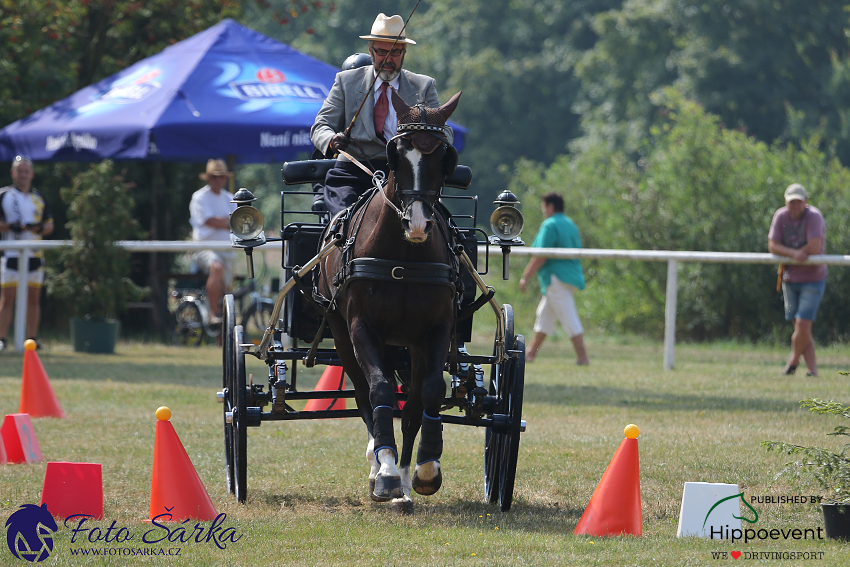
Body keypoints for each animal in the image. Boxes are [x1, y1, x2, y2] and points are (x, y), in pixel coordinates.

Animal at [316, 90, 460, 516]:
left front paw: (425, 469)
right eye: (398, 153)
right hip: (341, 336)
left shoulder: (435, 332)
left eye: (444, 157)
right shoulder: (362, 328)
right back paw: (380, 463)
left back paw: (405, 481)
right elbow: (379, 391)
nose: (418, 224)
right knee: (364, 396)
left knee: (410, 404)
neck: (404, 256)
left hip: (409, 346)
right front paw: (385, 472)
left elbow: (428, 394)